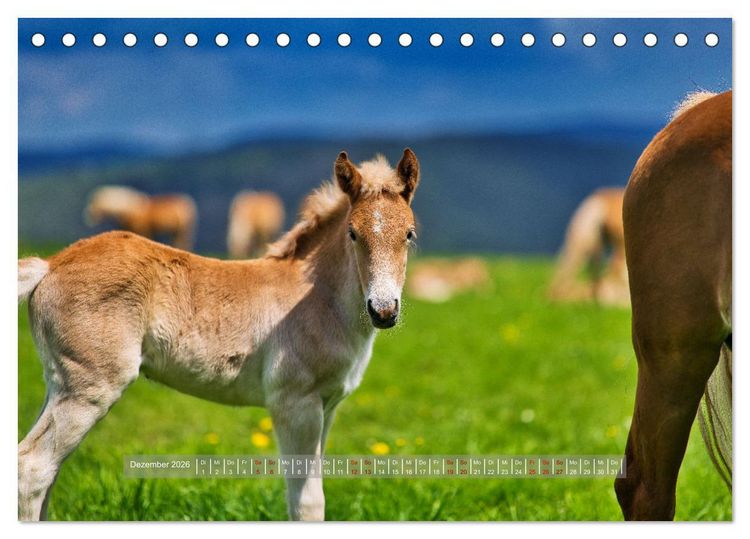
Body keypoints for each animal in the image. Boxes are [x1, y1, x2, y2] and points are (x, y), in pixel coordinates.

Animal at [18, 149, 421, 521]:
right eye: (353, 233)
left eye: (409, 234)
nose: (383, 311)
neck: (317, 298)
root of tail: (49, 265)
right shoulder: (295, 403)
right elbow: (307, 502)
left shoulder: (328, 406)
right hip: (91, 388)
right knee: (33, 469)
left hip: (61, 383)